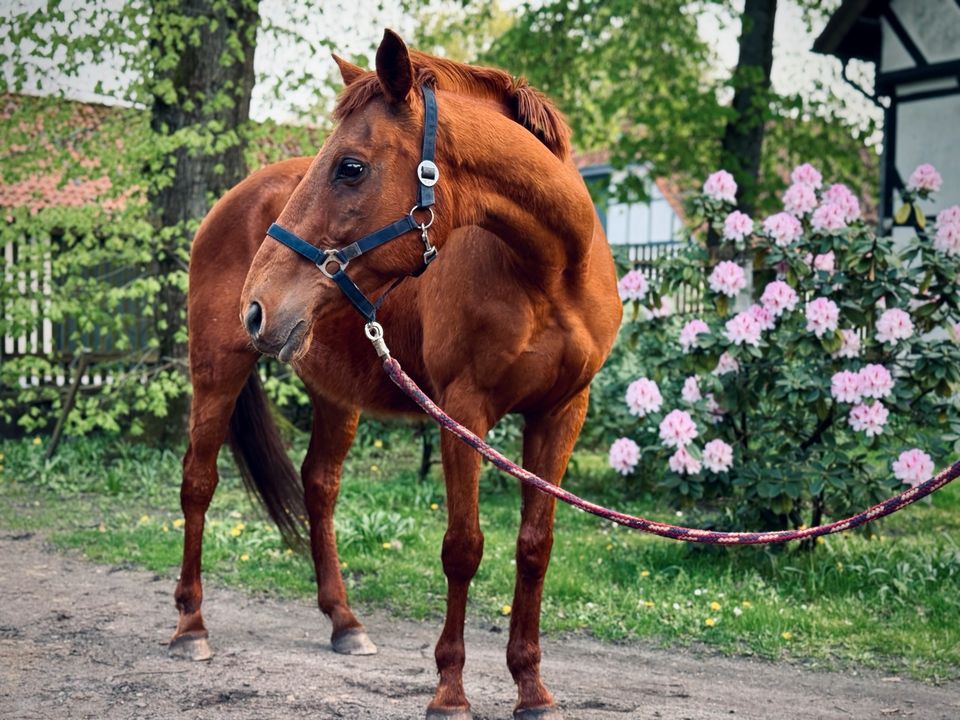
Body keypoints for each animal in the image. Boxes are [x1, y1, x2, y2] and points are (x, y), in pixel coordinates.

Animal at [172, 29, 620, 720]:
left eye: (350, 167)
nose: (257, 305)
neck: (549, 272)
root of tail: (231, 202)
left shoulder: (562, 412)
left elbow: (534, 547)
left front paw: (531, 687)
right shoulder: (464, 413)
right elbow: (463, 547)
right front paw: (450, 691)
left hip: (337, 392)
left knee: (319, 486)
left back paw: (345, 622)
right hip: (218, 370)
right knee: (198, 483)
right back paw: (190, 628)